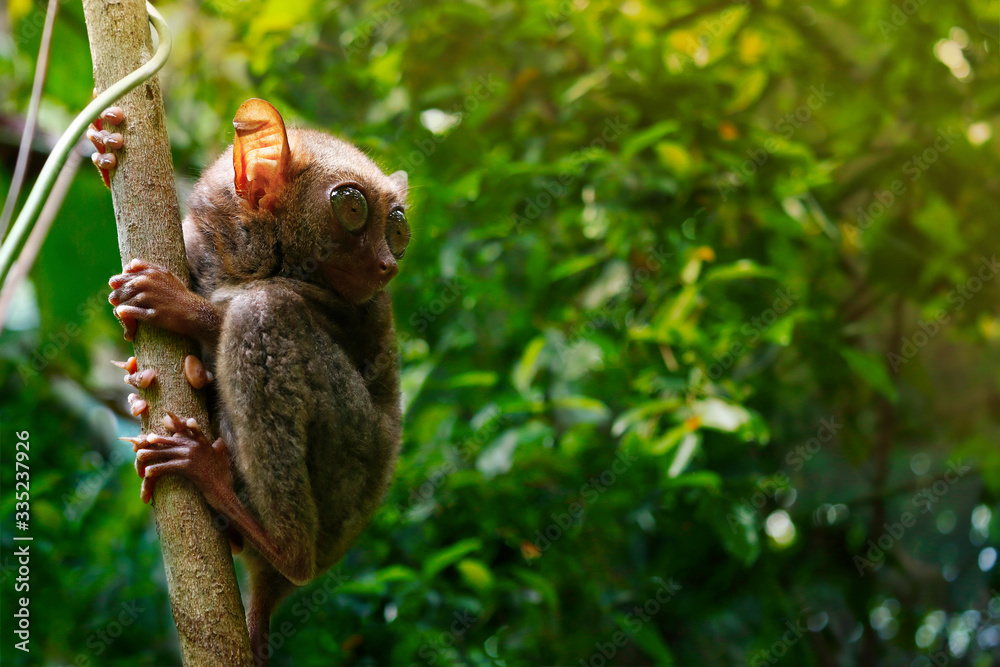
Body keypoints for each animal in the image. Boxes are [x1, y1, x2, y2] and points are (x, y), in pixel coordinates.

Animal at [91, 98, 408, 666]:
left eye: (397, 231)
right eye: (353, 210)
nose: (388, 263)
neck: (252, 253)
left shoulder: (351, 308)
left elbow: (251, 309)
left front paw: (174, 304)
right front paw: (107, 150)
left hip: (348, 462)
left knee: (262, 311)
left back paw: (228, 492)